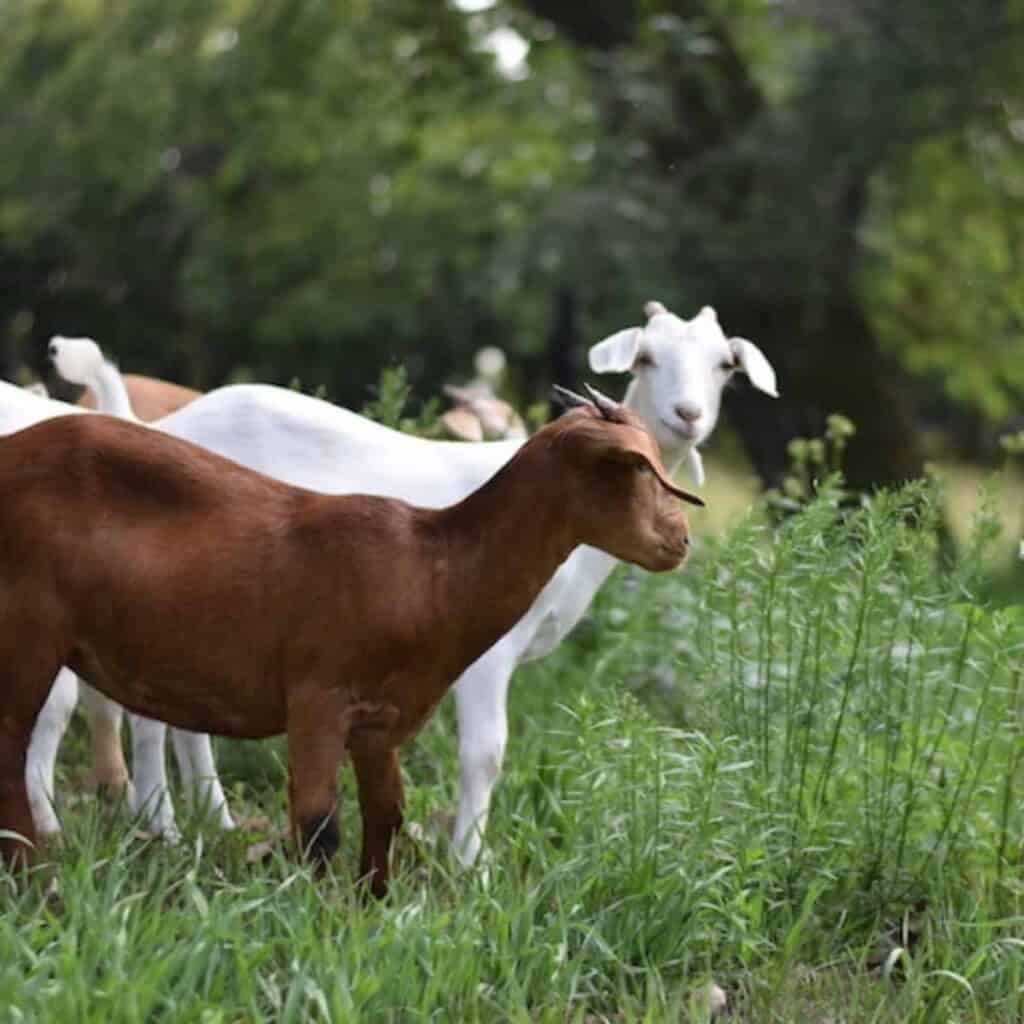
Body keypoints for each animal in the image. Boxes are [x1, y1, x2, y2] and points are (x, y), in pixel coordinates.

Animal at [0, 390, 701, 894]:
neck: (432, 566)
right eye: (633, 470)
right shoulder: (318, 697)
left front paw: (374, 906)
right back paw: (34, 878)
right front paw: (317, 916)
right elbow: (318, 821)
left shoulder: (379, 718)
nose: (682, 540)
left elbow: (387, 811)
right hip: (27, 632)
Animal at [40, 302, 777, 861]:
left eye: (724, 366)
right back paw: (159, 824)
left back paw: (211, 821)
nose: (687, 416)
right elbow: (486, 753)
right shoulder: (485, 650)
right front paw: (470, 867)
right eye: (646, 359)